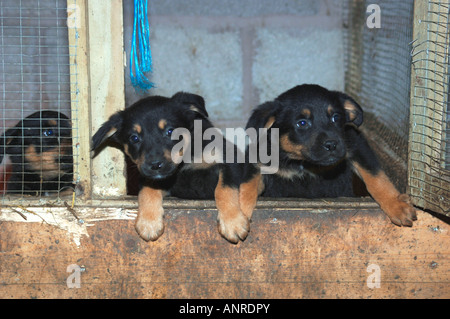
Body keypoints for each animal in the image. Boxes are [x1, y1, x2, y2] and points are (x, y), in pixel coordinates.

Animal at [91, 92, 256, 245]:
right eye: (134, 138)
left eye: (170, 131)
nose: (155, 165)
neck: (186, 160)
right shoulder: (158, 179)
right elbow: (147, 190)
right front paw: (149, 222)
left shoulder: (230, 161)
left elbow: (224, 189)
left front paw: (232, 222)